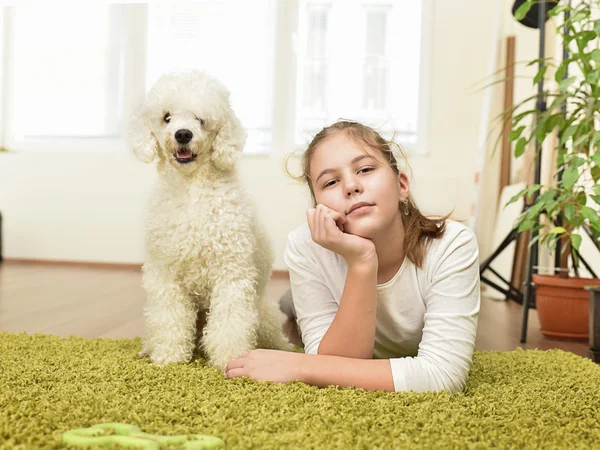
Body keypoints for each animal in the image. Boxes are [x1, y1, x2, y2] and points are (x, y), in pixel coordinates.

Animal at [130, 71, 292, 372]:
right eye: (167, 117)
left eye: (201, 119)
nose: (183, 134)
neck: (192, 191)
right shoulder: (165, 273)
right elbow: (170, 319)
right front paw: (169, 356)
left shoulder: (232, 273)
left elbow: (230, 323)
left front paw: (230, 358)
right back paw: (149, 348)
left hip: (261, 313)